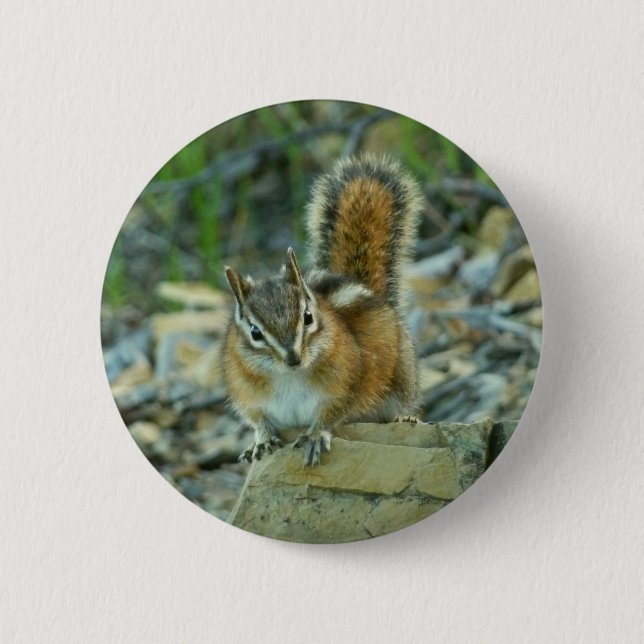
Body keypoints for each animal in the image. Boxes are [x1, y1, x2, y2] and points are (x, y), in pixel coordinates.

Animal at [222, 154, 424, 467]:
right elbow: (258, 421)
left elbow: (331, 414)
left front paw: (315, 435)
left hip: (402, 377)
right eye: (255, 332)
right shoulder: (248, 395)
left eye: (307, 317)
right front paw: (262, 441)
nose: (293, 358)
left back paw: (405, 418)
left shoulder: (346, 384)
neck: (289, 377)